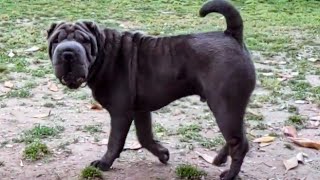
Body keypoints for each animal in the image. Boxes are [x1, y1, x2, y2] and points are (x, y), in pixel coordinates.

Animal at [46, 0, 255, 179]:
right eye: (55, 41)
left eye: (85, 41)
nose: (67, 52)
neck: (104, 54)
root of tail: (232, 35)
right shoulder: (140, 110)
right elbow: (144, 136)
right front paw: (162, 153)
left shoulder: (121, 112)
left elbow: (115, 141)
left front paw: (104, 163)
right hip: (228, 108)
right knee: (236, 137)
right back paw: (219, 160)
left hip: (224, 106)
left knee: (239, 143)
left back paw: (229, 175)